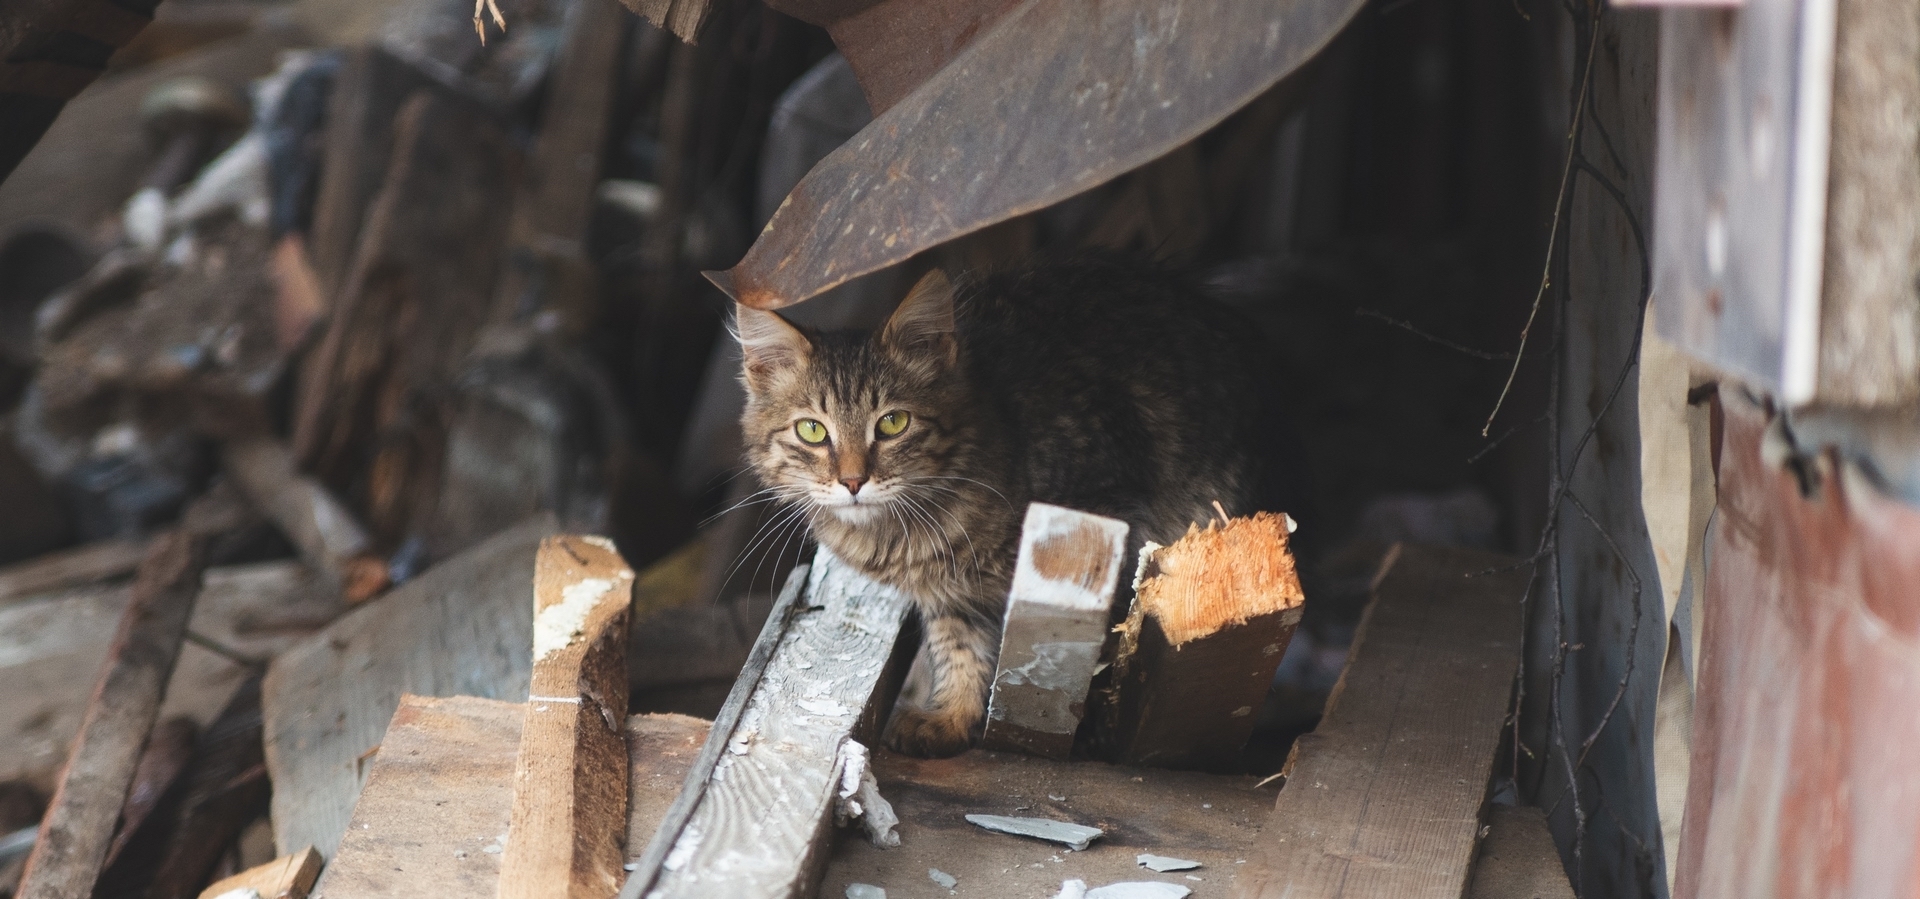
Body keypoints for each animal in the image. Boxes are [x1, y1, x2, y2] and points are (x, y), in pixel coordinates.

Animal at [737, 259, 1274, 756]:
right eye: (812, 430)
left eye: (892, 423)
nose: (852, 481)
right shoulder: (952, 594)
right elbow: (960, 650)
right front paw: (952, 718)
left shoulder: (1115, 521)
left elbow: (1091, 647)